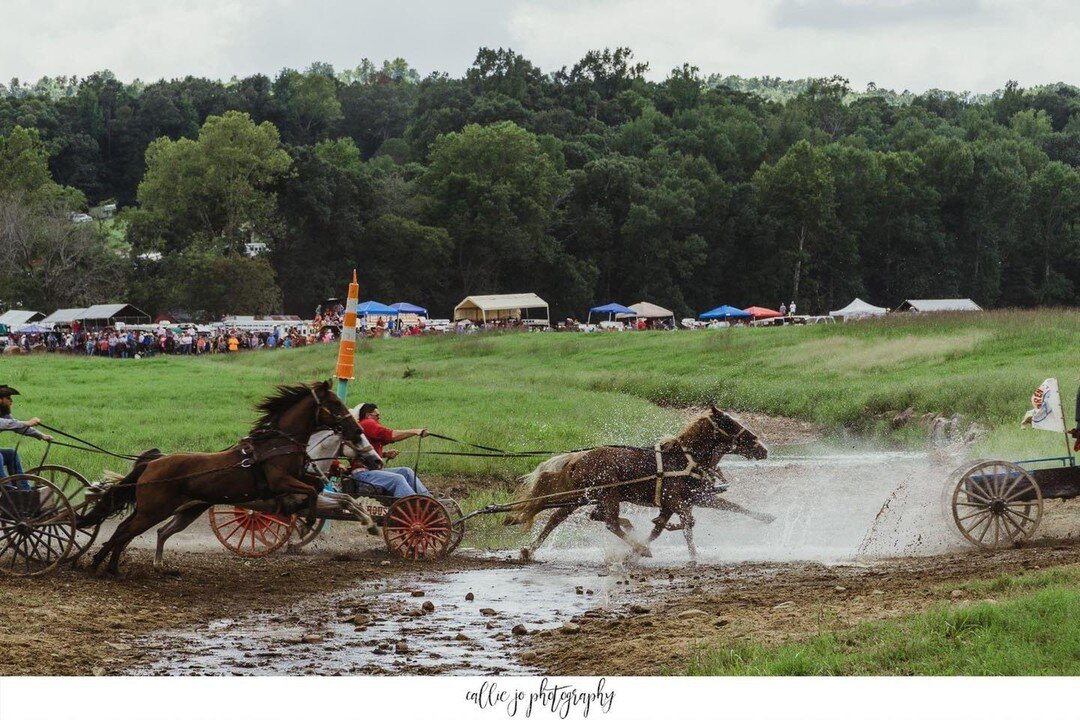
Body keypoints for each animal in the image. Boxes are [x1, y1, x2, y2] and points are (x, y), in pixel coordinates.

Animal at [81, 379, 375, 578]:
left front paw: (366, 522)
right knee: (124, 531)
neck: (278, 444)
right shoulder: (280, 482)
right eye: (335, 404)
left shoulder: (298, 479)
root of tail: (152, 463)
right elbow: (314, 493)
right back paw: (99, 565)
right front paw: (305, 524)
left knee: (132, 531)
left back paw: (112, 566)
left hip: (178, 510)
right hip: (153, 510)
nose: (357, 431)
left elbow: (322, 490)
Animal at [507, 408, 773, 565]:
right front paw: (692, 556)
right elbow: (686, 525)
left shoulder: (691, 499)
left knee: (557, 518)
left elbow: (731, 507)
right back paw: (637, 544)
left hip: (582, 497)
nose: (763, 449)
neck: (683, 459)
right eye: (729, 423)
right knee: (609, 522)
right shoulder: (677, 501)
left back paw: (529, 550)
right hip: (608, 494)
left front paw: (767, 517)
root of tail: (577, 458)